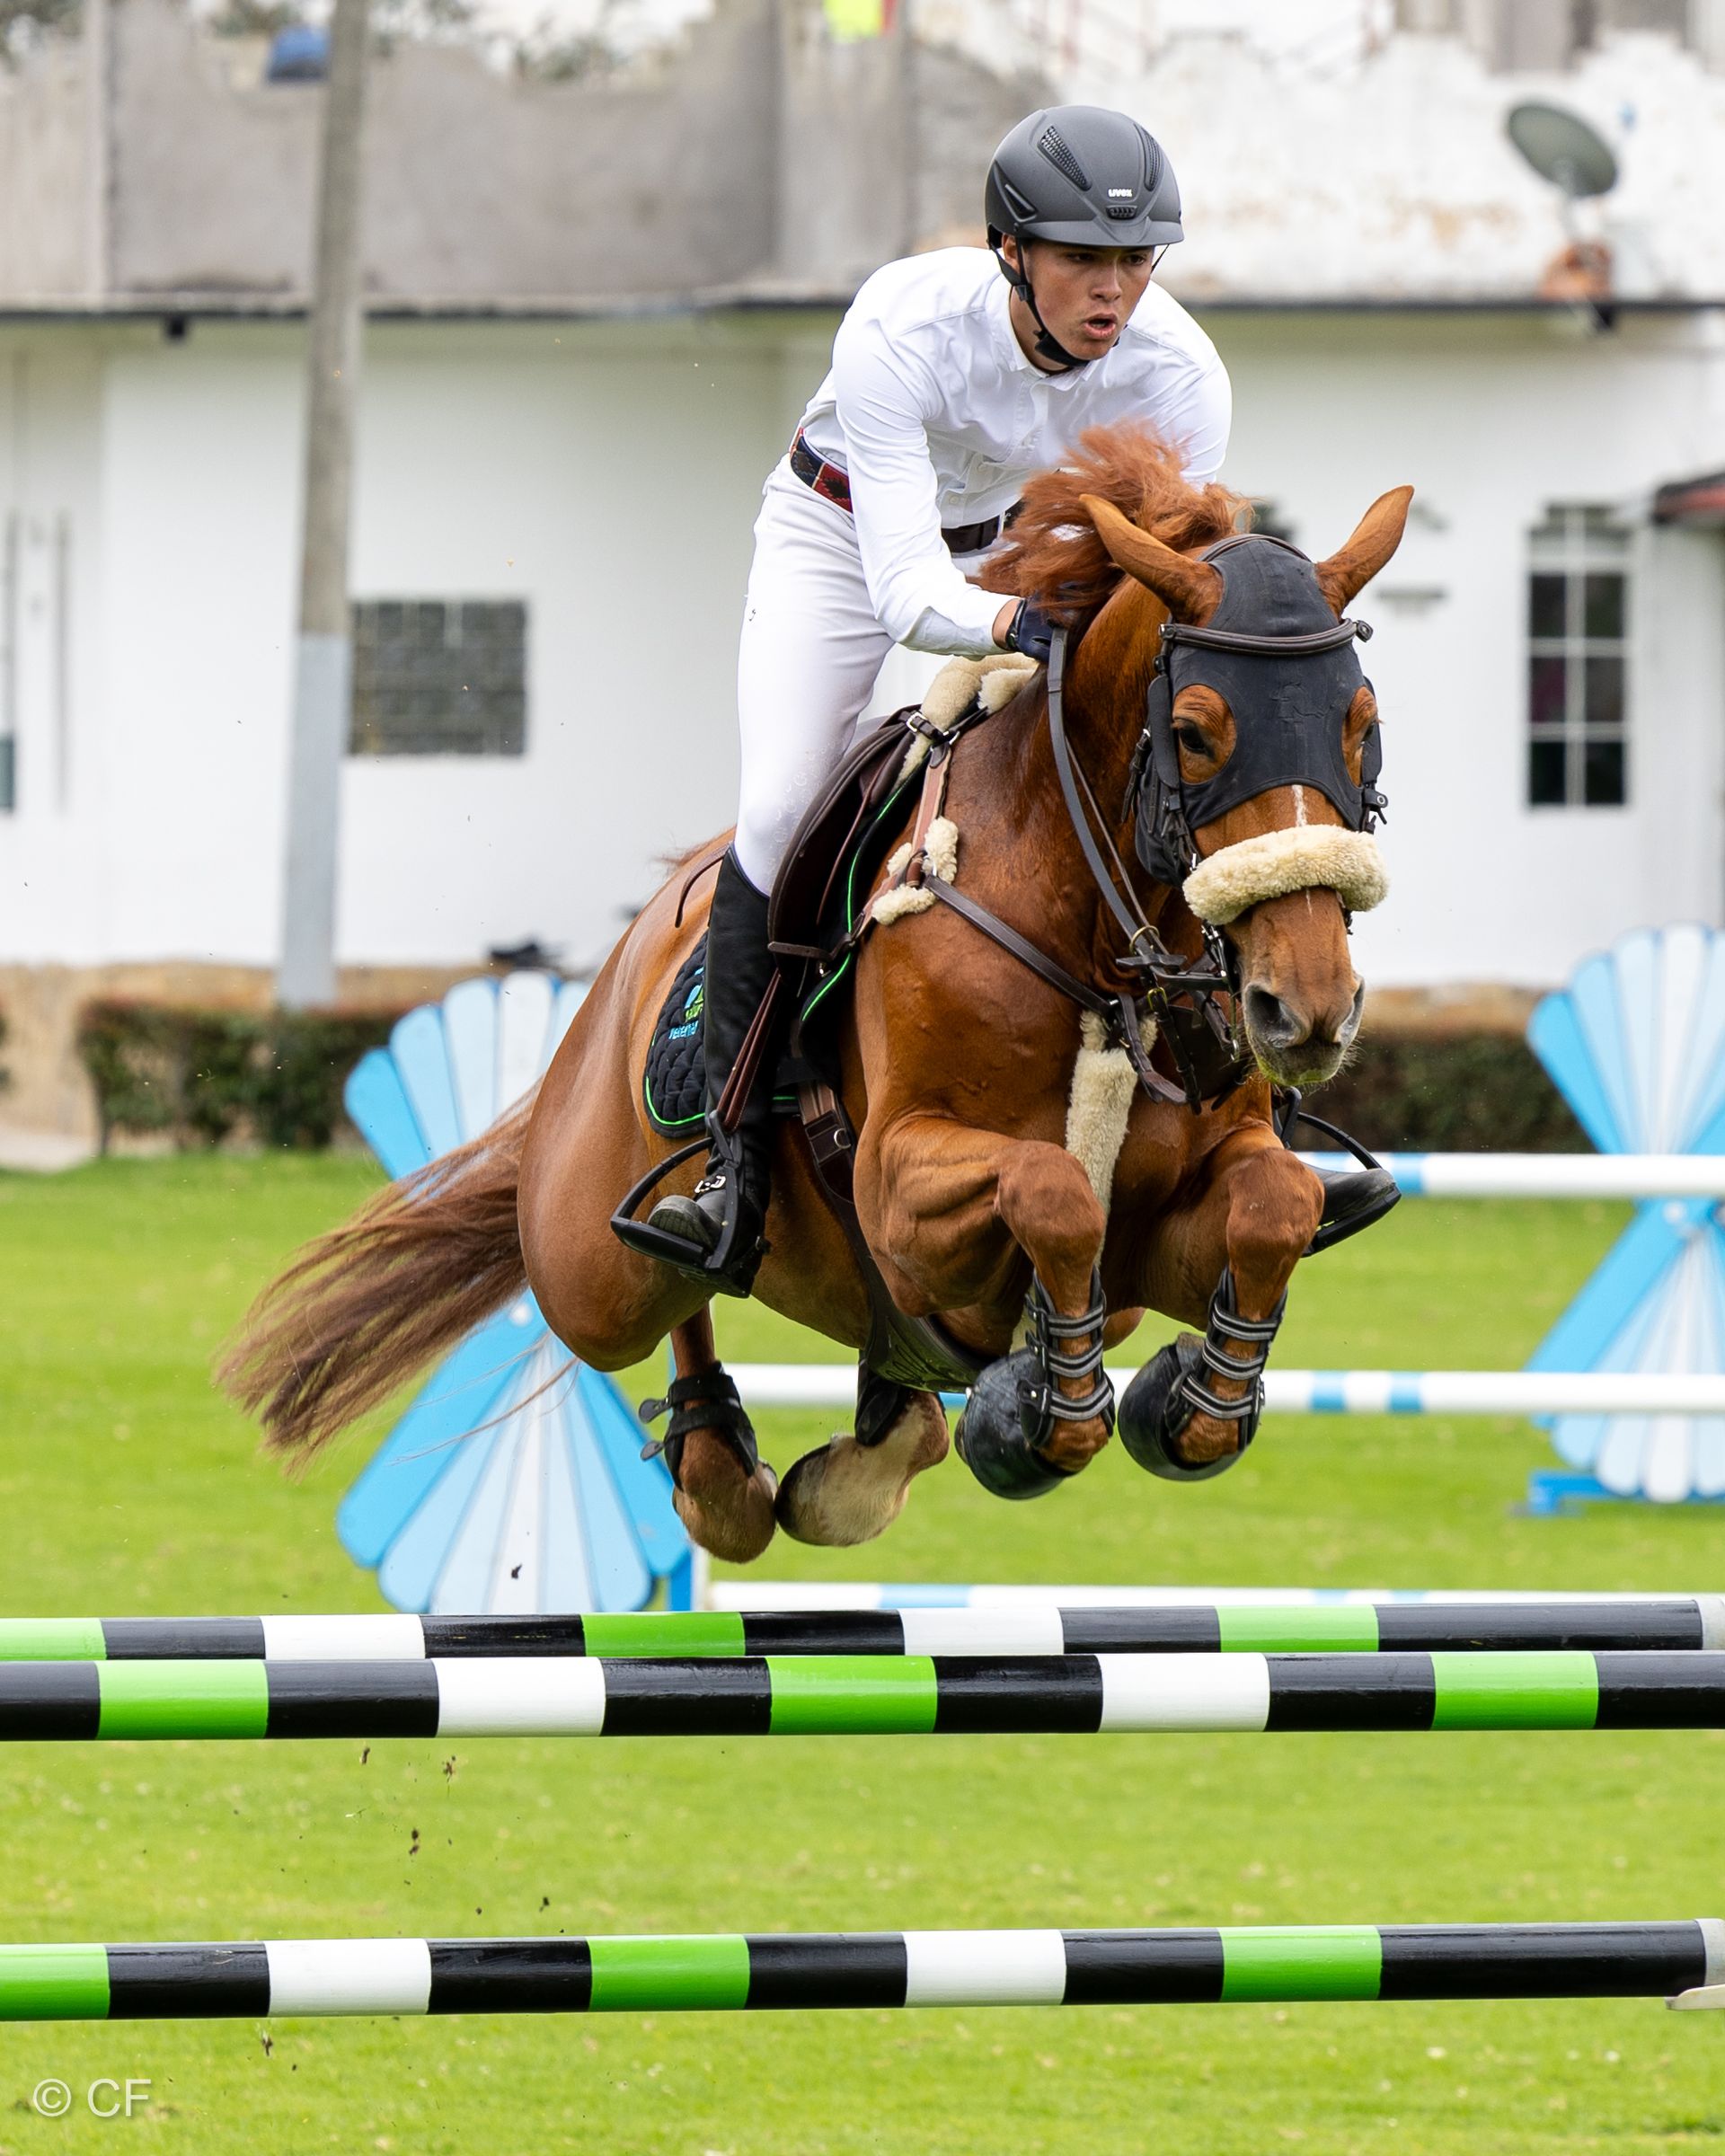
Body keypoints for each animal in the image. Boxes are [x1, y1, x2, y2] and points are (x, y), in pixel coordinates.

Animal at [221, 424, 1411, 1571]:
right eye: (1200, 732)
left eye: (1361, 724)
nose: (1306, 1010)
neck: (1095, 947)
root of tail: (625, 959)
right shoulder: (899, 1187)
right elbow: (1053, 1190)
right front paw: (1043, 1416)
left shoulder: (1166, 1232)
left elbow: (1275, 1204)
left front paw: (1195, 1401)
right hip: (587, 1268)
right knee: (665, 1286)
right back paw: (718, 1446)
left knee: (882, 1374)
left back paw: (866, 1450)